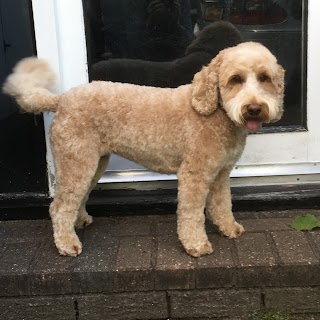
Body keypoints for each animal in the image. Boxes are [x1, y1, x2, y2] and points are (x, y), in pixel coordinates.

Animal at [3, 42, 284, 258]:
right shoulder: (194, 174)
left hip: (92, 162)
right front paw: (195, 245)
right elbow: (192, 213)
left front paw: (229, 228)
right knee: (60, 206)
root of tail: (61, 99)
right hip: (76, 160)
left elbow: (222, 204)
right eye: (236, 79)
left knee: (76, 197)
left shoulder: (220, 174)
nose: (254, 108)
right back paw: (67, 244)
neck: (216, 112)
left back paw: (79, 221)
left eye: (264, 78)